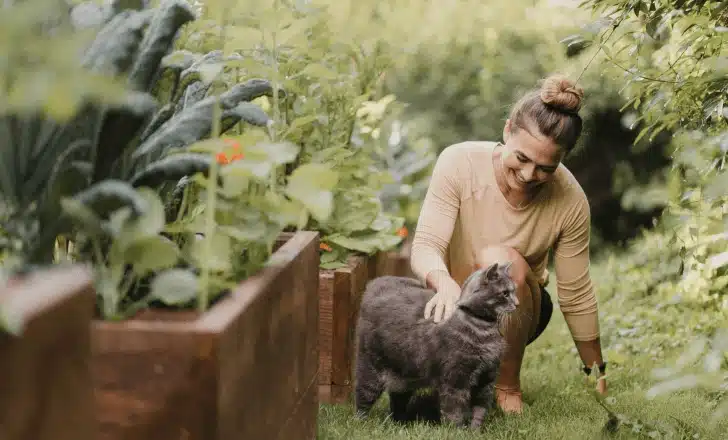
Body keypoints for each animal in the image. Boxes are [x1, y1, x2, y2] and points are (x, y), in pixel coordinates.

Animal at [354, 262, 516, 428]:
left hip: (403, 376)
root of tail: (375, 284)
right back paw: (361, 423)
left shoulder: (486, 379)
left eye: (513, 291)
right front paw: (457, 430)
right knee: (363, 398)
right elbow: (454, 412)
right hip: (370, 369)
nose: (517, 303)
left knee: (397, 401)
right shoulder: (455, 380)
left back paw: (400, 423)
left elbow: (479, 411)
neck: (483, 329)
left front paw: (475, 430)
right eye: (505, 293)